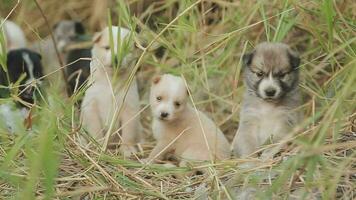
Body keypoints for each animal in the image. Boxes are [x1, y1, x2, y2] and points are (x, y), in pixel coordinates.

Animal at [80, 25, 143, 156]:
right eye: (107, 47)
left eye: (125, 50)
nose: (116, 59)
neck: (111, 82)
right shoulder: (91, 105)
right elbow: (95, 129)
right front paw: (97, 145)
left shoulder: (130, 107)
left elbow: (129, 131)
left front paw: (127, 149)